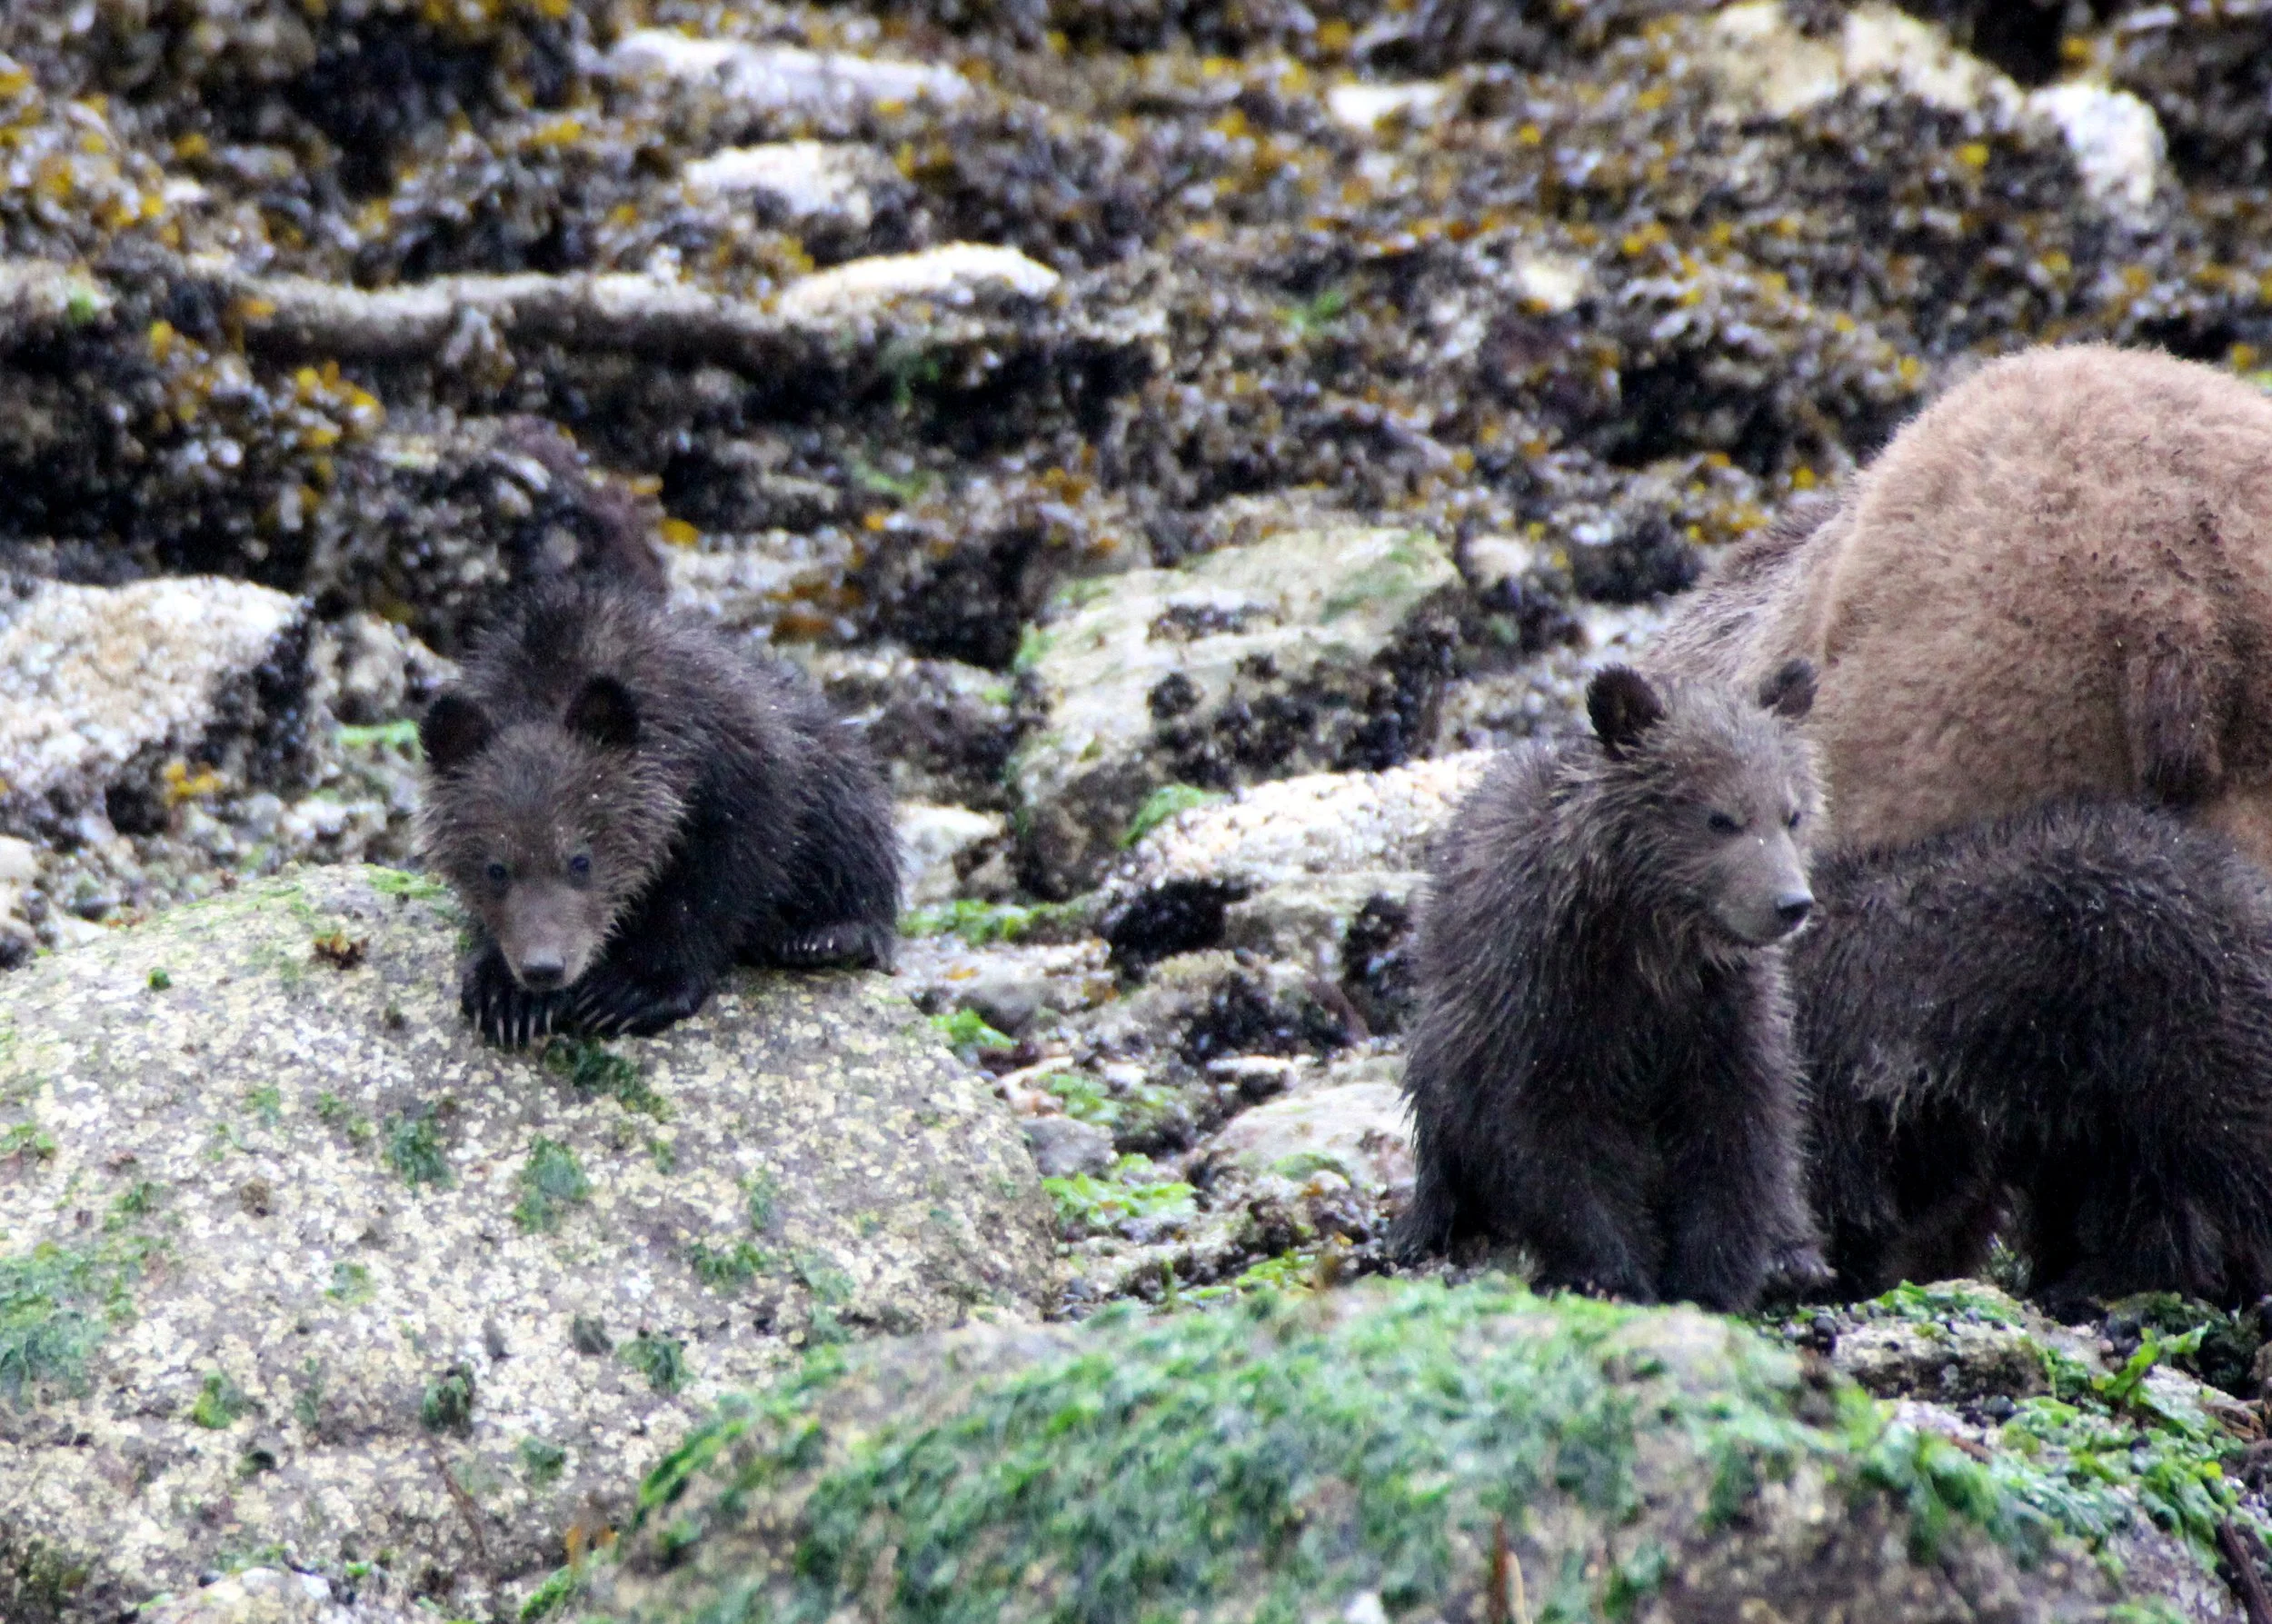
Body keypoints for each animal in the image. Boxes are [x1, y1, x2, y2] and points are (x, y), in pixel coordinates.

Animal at [418, 580, 900, 1046]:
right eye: (495, 869)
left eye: (581, 861)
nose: (543, 968)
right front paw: (505, 997)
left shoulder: (738, 773)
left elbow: (725, 879)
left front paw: (629, 991)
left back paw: (825, 936)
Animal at [1393, 660, 1827, 1313]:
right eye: (1720, 817)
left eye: (1791, 813)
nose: (1790, 903)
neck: (1649, 948)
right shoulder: (1544, 997)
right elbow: (1553, 1134)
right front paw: (1610, 1273)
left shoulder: (1721, 1009)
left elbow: (1738, 1127)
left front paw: (1716, 1277)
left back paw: (1794, 1257)